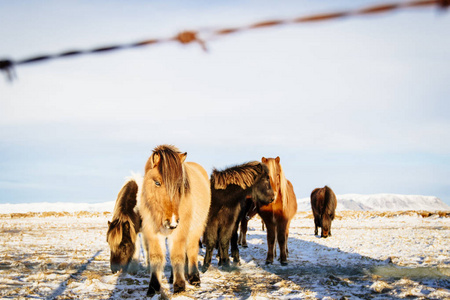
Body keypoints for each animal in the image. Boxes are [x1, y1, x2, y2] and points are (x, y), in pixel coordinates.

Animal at [140, 145, 212, 296]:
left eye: (180, 185)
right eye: (157, 182)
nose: (172, 221)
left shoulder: (179, 231)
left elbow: (177, 257)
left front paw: (179, 286)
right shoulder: (153, 233)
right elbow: (156, 258)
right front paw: (153, 287)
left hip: (195, 229)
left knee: (191, 251)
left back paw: (194, 278)